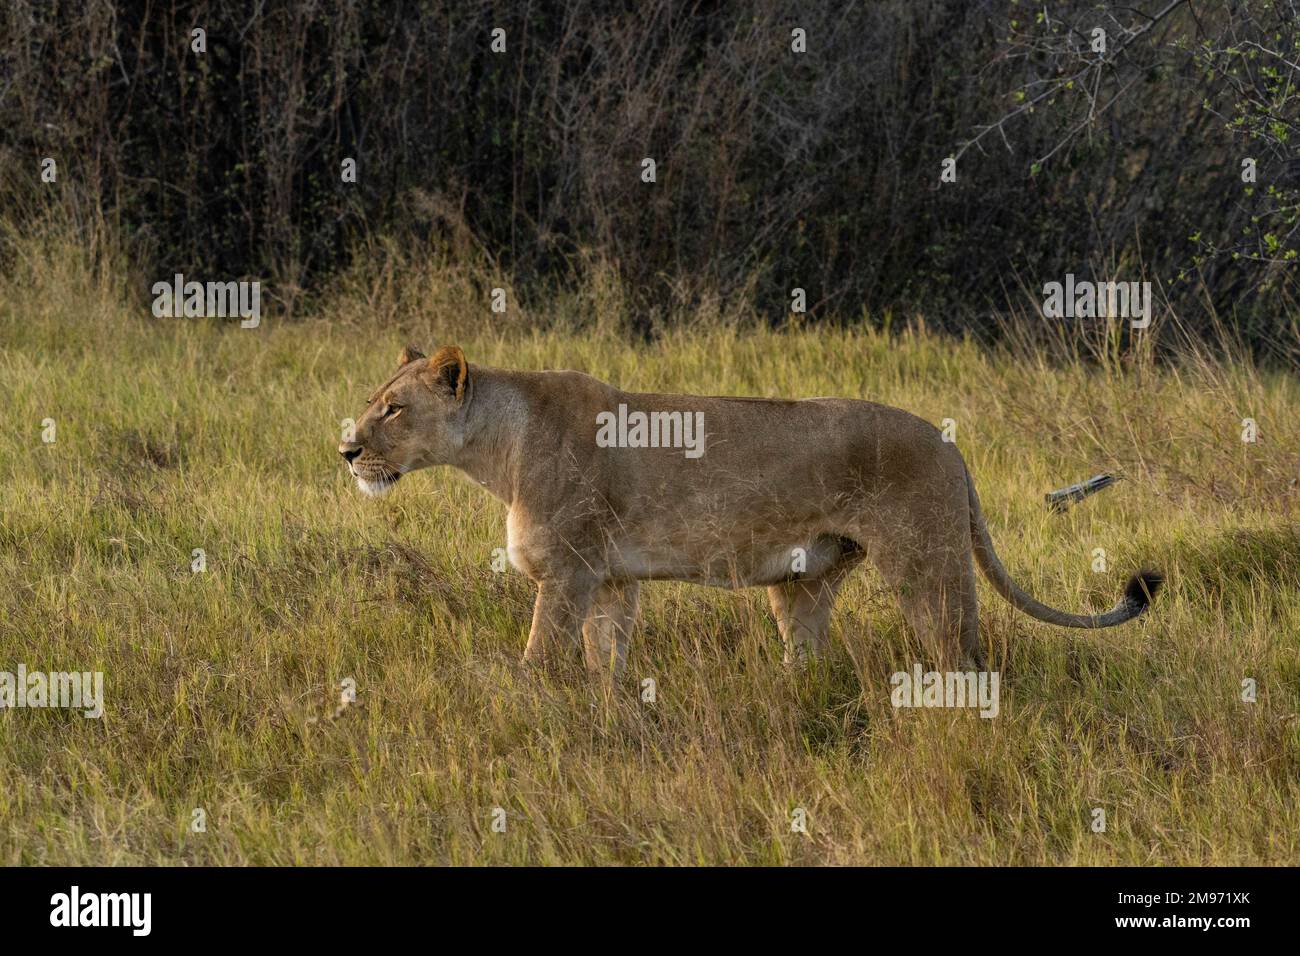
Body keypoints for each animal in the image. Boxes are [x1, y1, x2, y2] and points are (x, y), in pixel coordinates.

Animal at [340, 345, 1162, 674]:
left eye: (393, 409)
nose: (347, 450)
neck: (497, 450)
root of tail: (951, 446)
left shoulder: (567, 573)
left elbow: (540, 661)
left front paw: (529, 711)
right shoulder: (611, 580)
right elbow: (606, 662)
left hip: (926, 566)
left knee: (963, 657)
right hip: (804, 583)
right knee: (811, 658)